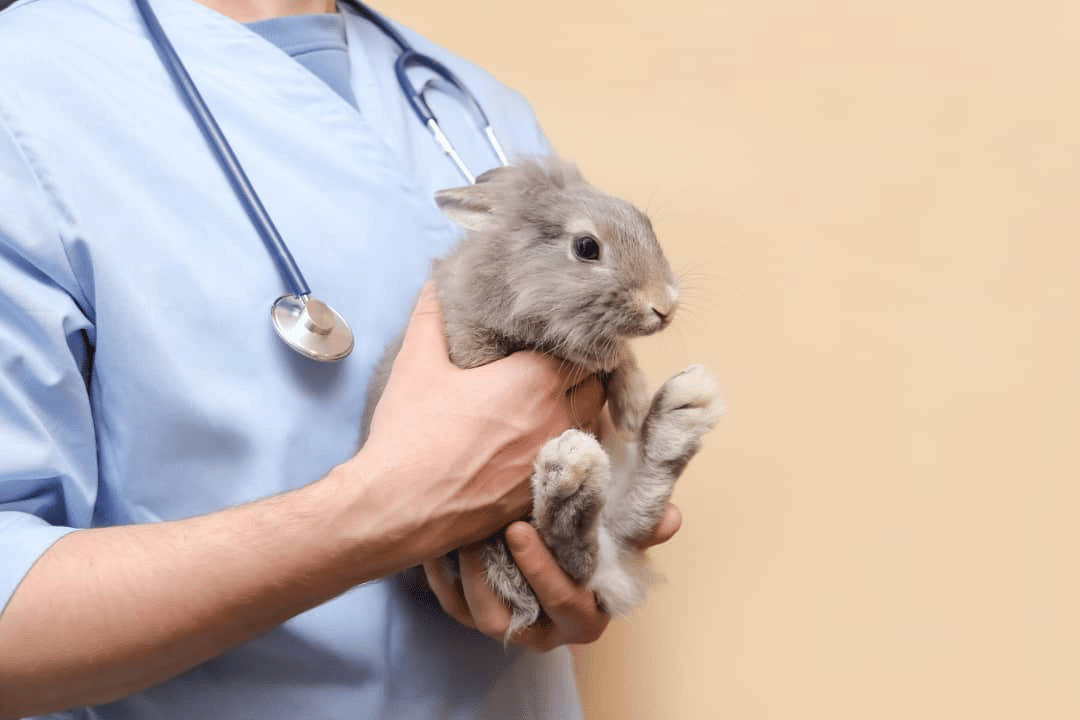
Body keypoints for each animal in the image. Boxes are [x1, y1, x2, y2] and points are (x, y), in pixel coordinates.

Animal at [362, 156, 723, 641]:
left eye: (643, 222)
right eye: (587, 247)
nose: (664, 305)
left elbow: (619, 358)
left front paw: (632, 407)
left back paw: (680, 410)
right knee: (570, 559)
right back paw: (573, 475)